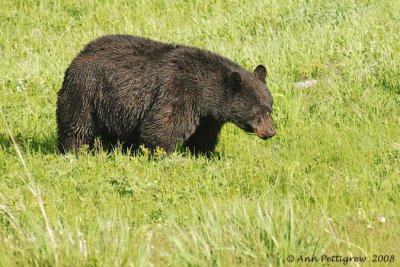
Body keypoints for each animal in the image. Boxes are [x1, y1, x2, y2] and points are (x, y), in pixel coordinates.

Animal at [56, 34, 276, 155]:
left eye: (269, 108)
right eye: (259, 112)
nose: (271, 132)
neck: (206, 91)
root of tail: (80, 53)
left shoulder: (208, 116)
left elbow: (204, 135)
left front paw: (204, 154)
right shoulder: (179, 91)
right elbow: (164, 124)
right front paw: (162, 154)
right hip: (86, 92)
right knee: (76, 125)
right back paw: (74, 151)